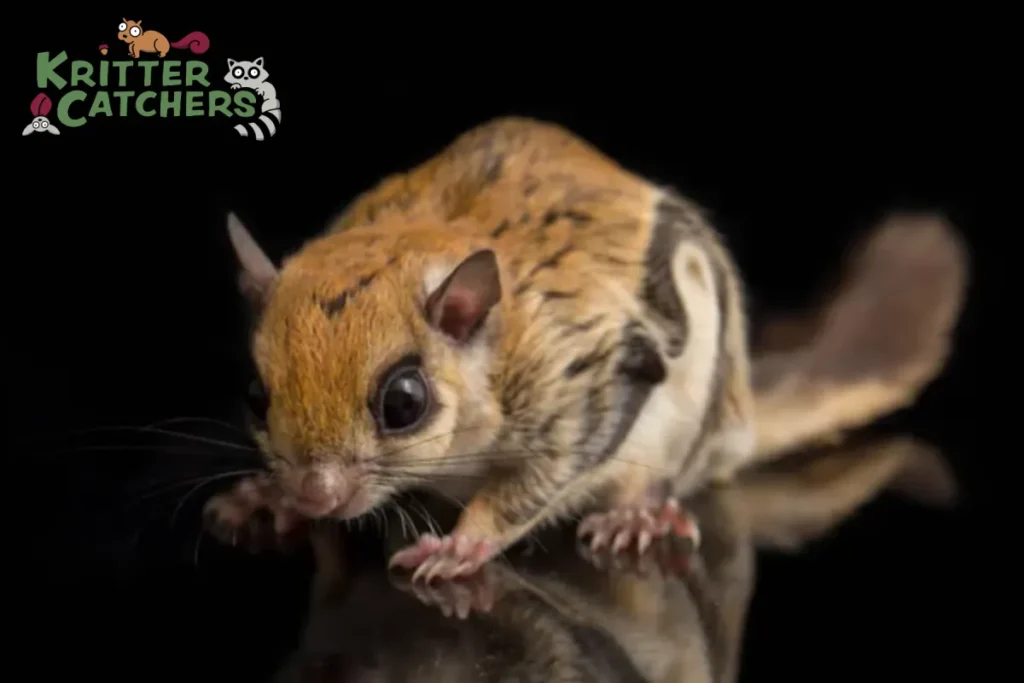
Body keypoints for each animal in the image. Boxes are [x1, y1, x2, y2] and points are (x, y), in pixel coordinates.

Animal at [204, 117, 967, 583]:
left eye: (403, 402)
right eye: (256, 397)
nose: (315, 493)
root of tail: (742, 415)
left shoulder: (582, 383)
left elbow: (531, 485)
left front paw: (461, 544)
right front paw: (263, 498)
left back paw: (640, 513)